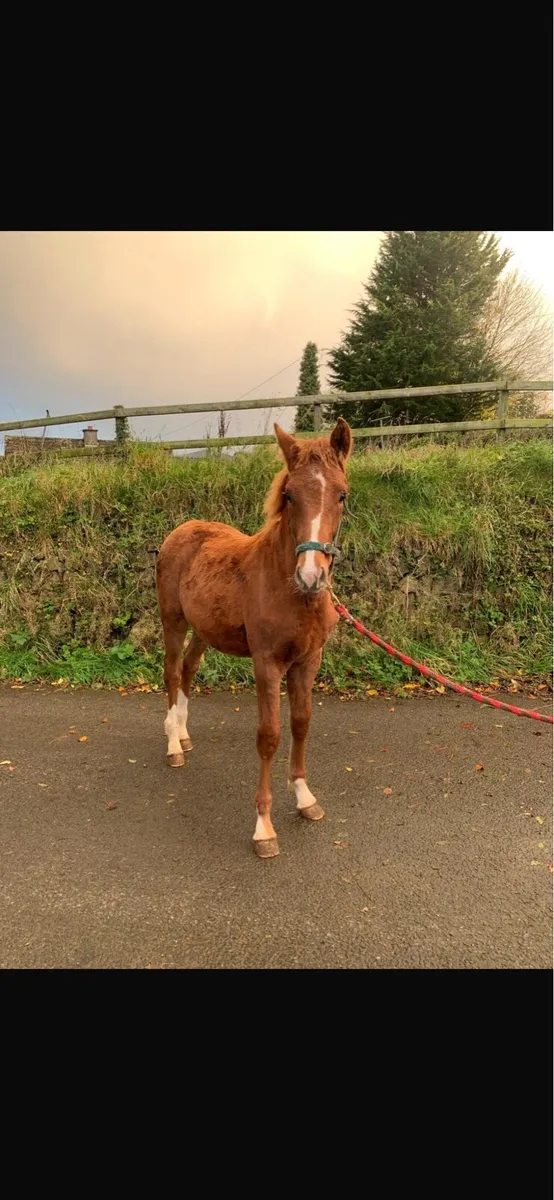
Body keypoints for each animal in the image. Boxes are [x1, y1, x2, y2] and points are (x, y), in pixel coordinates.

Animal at [155, 416, 352, 858]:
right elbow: (269, 736)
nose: (311, 576)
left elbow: (301, 723)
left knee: (189, 668)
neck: (292, 592)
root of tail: (181, 530)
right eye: (290, 495)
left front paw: (305, 798)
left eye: (342, 495)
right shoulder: (268, 663)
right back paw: (173, 744)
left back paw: (184, 733)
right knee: (172, 672)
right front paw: (264, 827)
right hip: (173, 622)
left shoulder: (308, 661)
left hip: (205, 630)